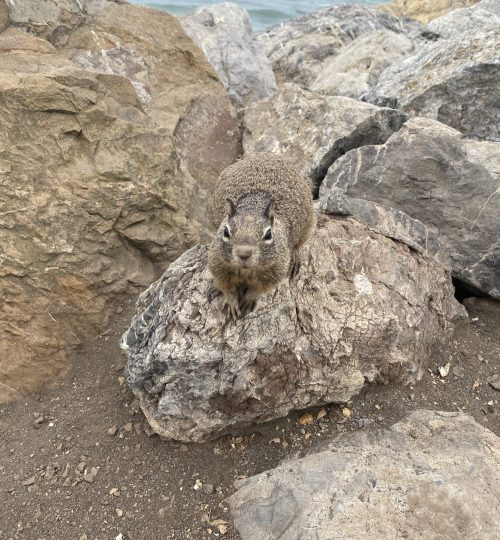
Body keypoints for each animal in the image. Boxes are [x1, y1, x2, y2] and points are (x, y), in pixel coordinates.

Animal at [206, 153, 312, 320]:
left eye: (268, 234)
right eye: (226, 232)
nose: (244, 254)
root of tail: (267, 155)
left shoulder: (275, 270)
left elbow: (259, 289)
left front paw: (248, 302)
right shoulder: (218, 264)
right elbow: (226, 287)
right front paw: (232, 304)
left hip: (308, 225)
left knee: (298, 244)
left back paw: (295, 258)